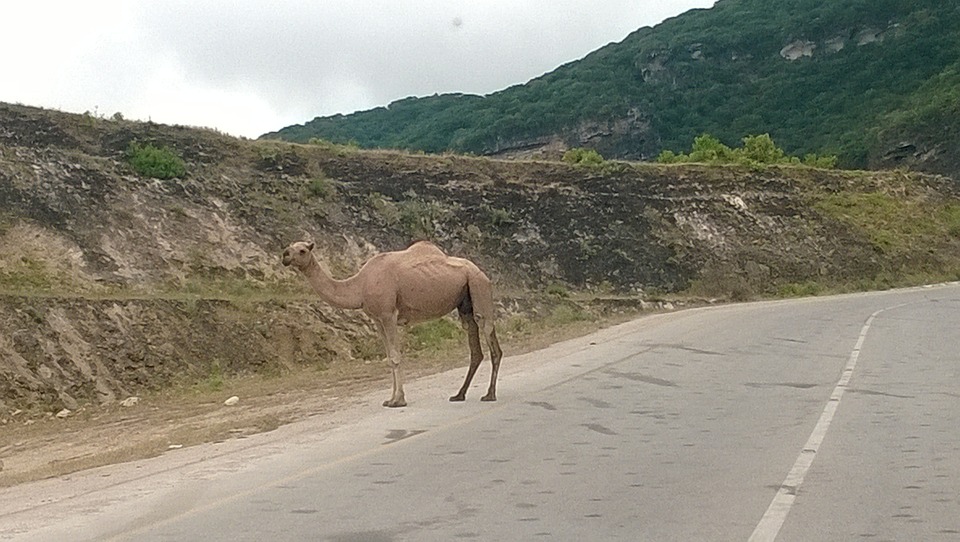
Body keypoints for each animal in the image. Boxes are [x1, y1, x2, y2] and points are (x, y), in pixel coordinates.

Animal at [281, 240, 502, 408]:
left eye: (302, 250)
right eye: (290, 246)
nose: (284, 255)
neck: (360, 285)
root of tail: (481, 271)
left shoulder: (388, 315)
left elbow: (396, 356)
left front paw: (398, 400)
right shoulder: (377, 319)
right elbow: (389, 357)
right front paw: (390, 399)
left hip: (479, 287)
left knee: (490, 338)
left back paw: (490, 395)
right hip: (465, 304)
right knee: (475, 347)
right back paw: (459, 395)